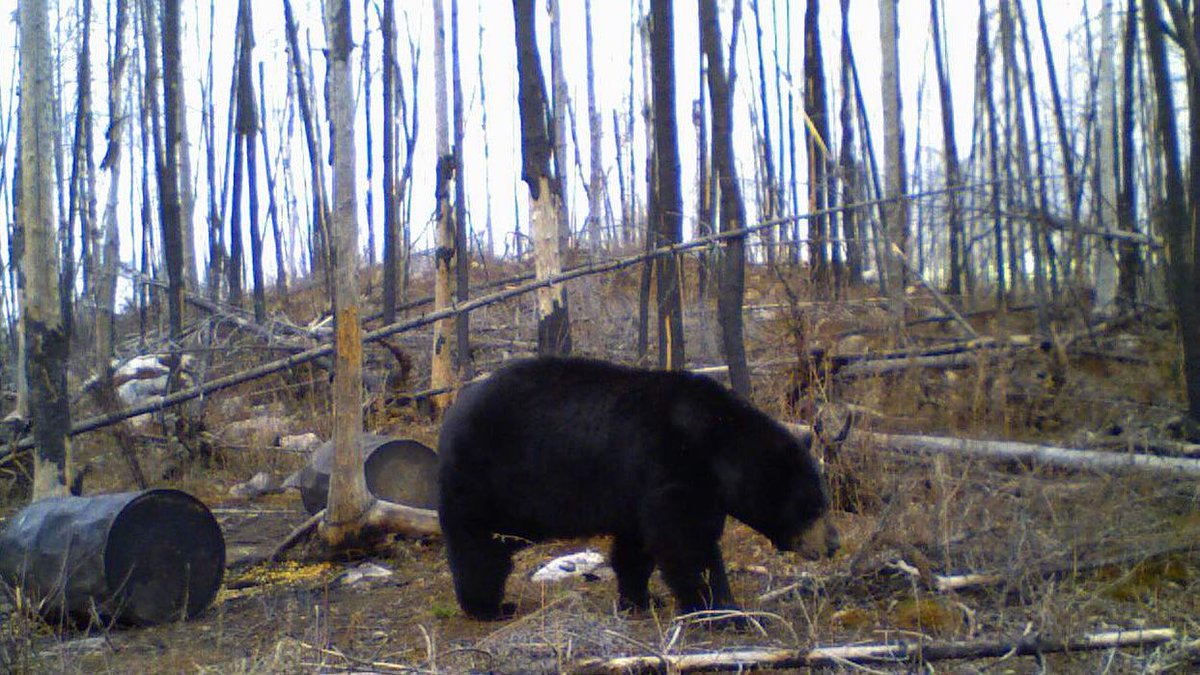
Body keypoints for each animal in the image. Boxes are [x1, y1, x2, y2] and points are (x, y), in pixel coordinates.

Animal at [436, 356, 839, 621]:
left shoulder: (637, 489)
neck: (717, 443)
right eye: (814, 505)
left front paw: (640, 600)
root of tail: (452, 414)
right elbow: (687, 542)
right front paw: (726, 610)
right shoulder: (671, 466)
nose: (833, 545)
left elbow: (638, 545)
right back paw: (489, 606)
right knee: (478, 546)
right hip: (485, 479)